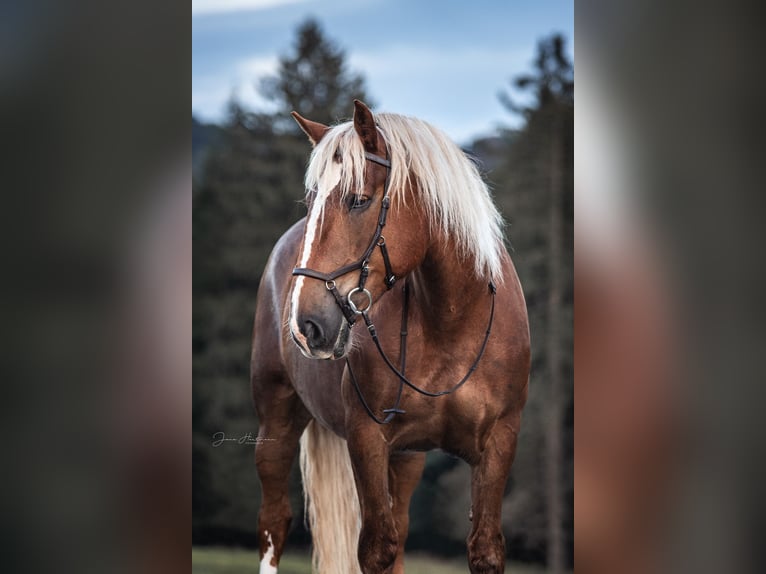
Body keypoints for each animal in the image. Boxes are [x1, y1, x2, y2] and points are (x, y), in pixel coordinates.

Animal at [255, 101, 532, 572]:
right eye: (312, 203)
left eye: (359, 200)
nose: (306, 325)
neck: (452, 323)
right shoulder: (367, 439)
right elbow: (377, 548)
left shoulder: (499, 443)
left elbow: (483, 549)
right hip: (275, 420)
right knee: (275, 522)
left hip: (406, 459)